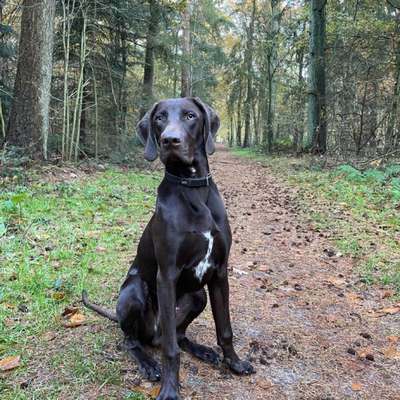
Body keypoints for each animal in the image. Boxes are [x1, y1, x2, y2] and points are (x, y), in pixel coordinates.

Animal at [83, 97, 255, 400]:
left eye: (190, 116)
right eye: (159, 118)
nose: (169, 140)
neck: (193, 188)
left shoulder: (220, 273)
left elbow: (225, 329)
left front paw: (234, 363)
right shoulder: (166, 275)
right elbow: (170, 350)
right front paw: (170, 390)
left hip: (198, 295)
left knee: (178, 334)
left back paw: (201, 350)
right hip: (134, 291)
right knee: (134, 341)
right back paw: (148, 364)